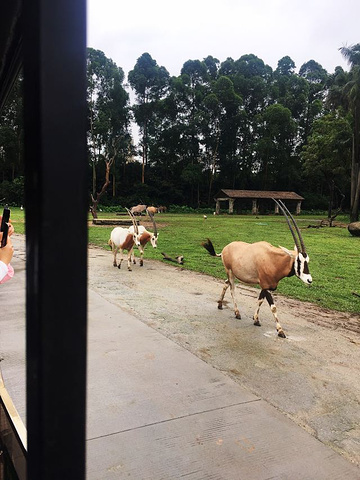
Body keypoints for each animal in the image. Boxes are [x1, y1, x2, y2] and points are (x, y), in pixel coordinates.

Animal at [202, 199, 312, 338]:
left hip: (233, 274)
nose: (309, 280)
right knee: (232, 289)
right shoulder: (266, 285)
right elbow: (273, 306)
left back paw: (220, 305)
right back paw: (237, 313)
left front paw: (256, 320)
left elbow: (259, 300)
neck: (273, 260)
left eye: (307, 260)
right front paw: (280, 331)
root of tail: (225, 249)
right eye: (298, 260)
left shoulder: (265, 286)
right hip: (230, 272)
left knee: (226, 284)